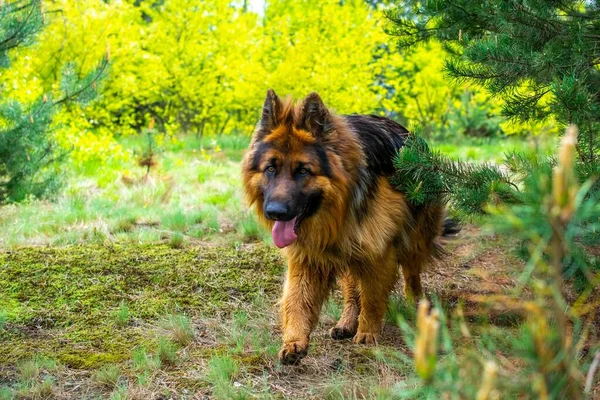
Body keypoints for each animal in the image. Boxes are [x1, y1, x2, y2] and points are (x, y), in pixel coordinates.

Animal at [241, 90, 452, 366]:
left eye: (303, 171)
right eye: (271, 168)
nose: (275, 212)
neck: (338, 210)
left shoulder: (378, 253)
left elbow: (372, 297)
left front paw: (368, 332)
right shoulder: (308, 258)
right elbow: (297, 300)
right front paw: (294, 341)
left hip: (413, 238)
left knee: (411, 273)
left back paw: (416, 304)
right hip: (348, 252)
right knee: (352, 291)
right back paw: (346, 322)